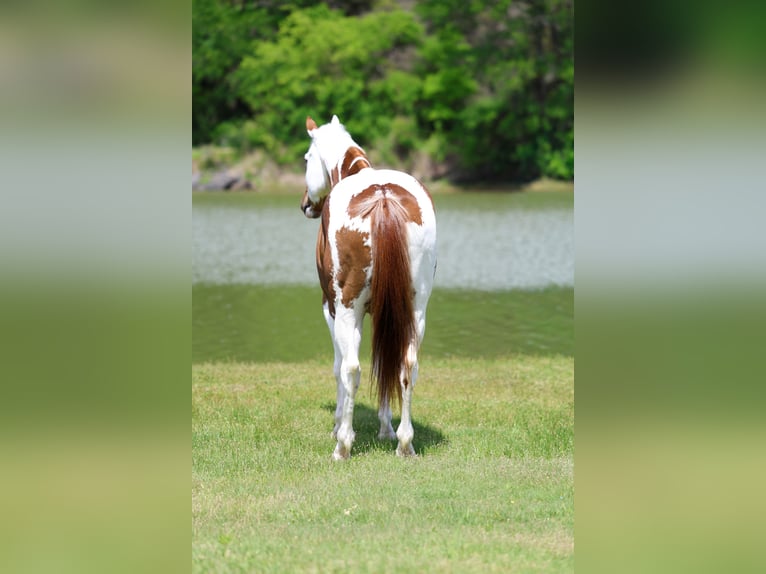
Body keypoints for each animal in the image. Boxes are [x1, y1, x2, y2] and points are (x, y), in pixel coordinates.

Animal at [300, 115, 437, 460]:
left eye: (307, 158)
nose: (306, 205)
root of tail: (384, 197)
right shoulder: (383, 312)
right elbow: (383, 363)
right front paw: (386, 428)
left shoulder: (332, 309)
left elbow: (340, 367)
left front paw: (339, 425)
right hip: (415, 310)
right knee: (406, 365)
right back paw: (404, 443)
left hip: (347, 308)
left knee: (351, 369)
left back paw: (343, 446)